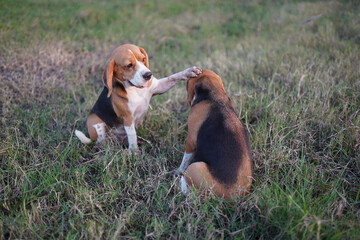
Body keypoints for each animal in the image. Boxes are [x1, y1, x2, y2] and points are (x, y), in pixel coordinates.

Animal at [178, 70, 252, 201]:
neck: (215, 96)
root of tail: (233, 196)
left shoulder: (190, 141)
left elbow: (185, 160)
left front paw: (179, 171)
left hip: (197, 167)